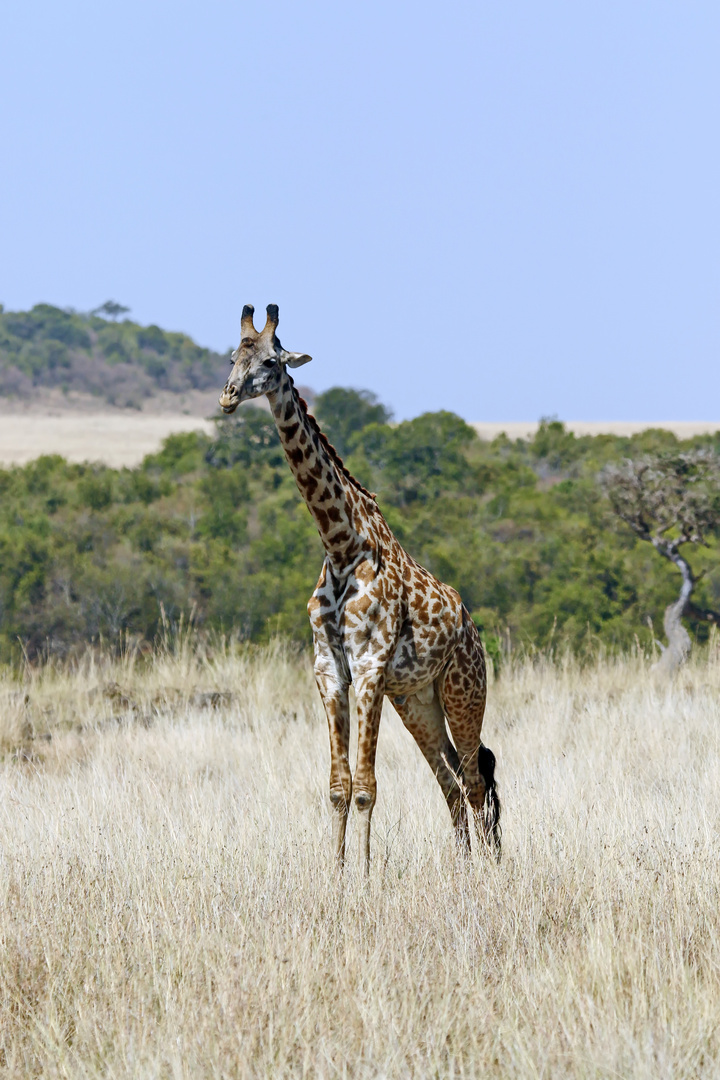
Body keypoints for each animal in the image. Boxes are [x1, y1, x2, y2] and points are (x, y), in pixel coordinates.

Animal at [220, 302, 500, 868]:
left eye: (270, 361)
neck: (341, 544)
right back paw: (462, 868)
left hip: (464, 691)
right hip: (417, 700)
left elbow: (367, 787)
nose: (228, 396)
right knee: (451, 780)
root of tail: (472, 628)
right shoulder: (330, 670)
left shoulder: (369, 666)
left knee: (475, 779)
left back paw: (484, 869)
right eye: (232, 356)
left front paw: (366, 877)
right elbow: (337, 786)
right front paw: (335, 873)